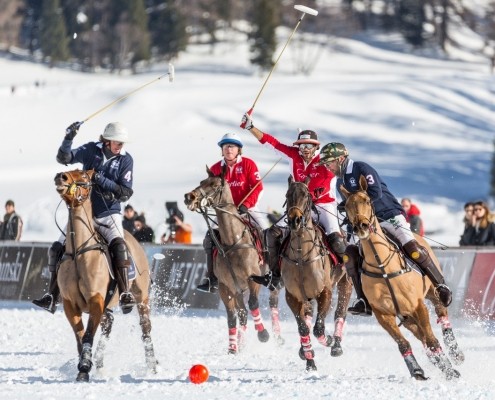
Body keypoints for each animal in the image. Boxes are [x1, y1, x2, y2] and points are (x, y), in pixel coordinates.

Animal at [53, 169, 157, 382]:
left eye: (84, 176)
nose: (60, 176)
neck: (78, 251)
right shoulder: (70, 304)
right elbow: (80, 336)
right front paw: (85, 365)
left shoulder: (96, 300)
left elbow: (87, 335)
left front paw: (84, 368)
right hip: (108, 305)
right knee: (108, 325)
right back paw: (100, 365)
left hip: (141, 296)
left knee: (145, 327)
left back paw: (151, 365)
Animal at [184, 166, 278, 354]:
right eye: (201, 182)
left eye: (214, 185)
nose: (189, 197)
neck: (232, 241)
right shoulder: (225, 287)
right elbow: (232, 317)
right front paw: (233, 348)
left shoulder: (253, 279)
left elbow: (254, 304)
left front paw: (263, 334)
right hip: (238, 289)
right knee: (242, 313)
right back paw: (241, 343)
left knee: (273, 302)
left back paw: (278, 337)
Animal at [280, 178, 350, 372]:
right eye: (288, 195)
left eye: (306, 195)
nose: (295, 220)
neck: (301, 256)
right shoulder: (293, 296)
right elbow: (303, 328)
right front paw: (309, 360)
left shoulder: (325, 292)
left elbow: (319, 328)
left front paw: (329, 340)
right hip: (306, 297)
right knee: (309, 316)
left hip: (346, 283)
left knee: (340, 312)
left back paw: (336, 345)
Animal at [340, 176, 464, 382]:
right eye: (347, 205)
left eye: (367, 200)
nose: (361, 227)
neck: (382, 266)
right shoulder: (384, 314)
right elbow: (404, 343)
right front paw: (417, 370)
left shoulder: (418, 305)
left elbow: (432, 340)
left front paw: (449, 370)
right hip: (406, 317)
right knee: (421, 336)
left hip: (431, 293)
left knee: (441, 313)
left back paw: (455, 353)